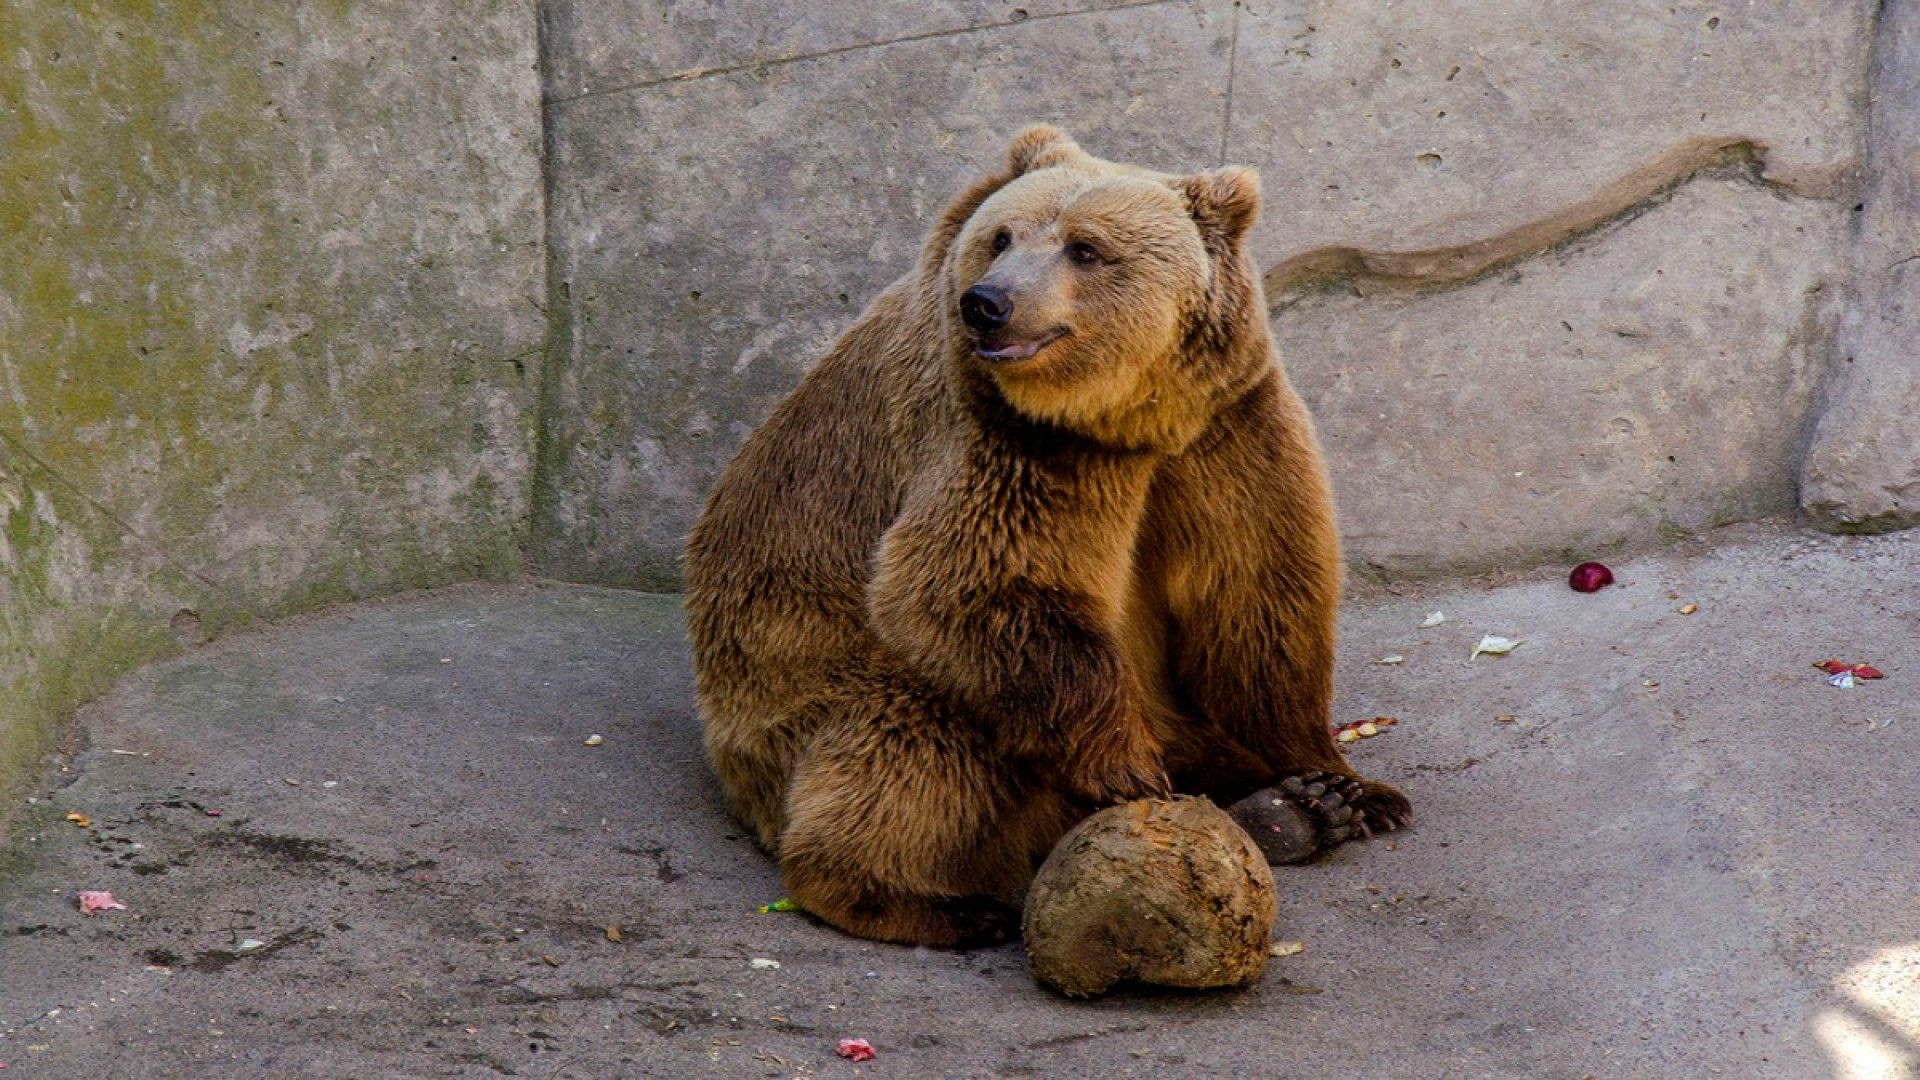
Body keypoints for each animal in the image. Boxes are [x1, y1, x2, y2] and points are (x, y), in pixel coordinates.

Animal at [683, 125, 1405, 941]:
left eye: (1085, 248)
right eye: (1002, 236)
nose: (987, 303)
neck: (1134, 420)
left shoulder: (1228, 430)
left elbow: (1258, 602)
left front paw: (1340, 785)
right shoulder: (1010, 442)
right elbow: (972, 586)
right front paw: (1125, 766)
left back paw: (1286, 812)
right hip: (796, 696)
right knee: (915, 732)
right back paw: (928, 902)